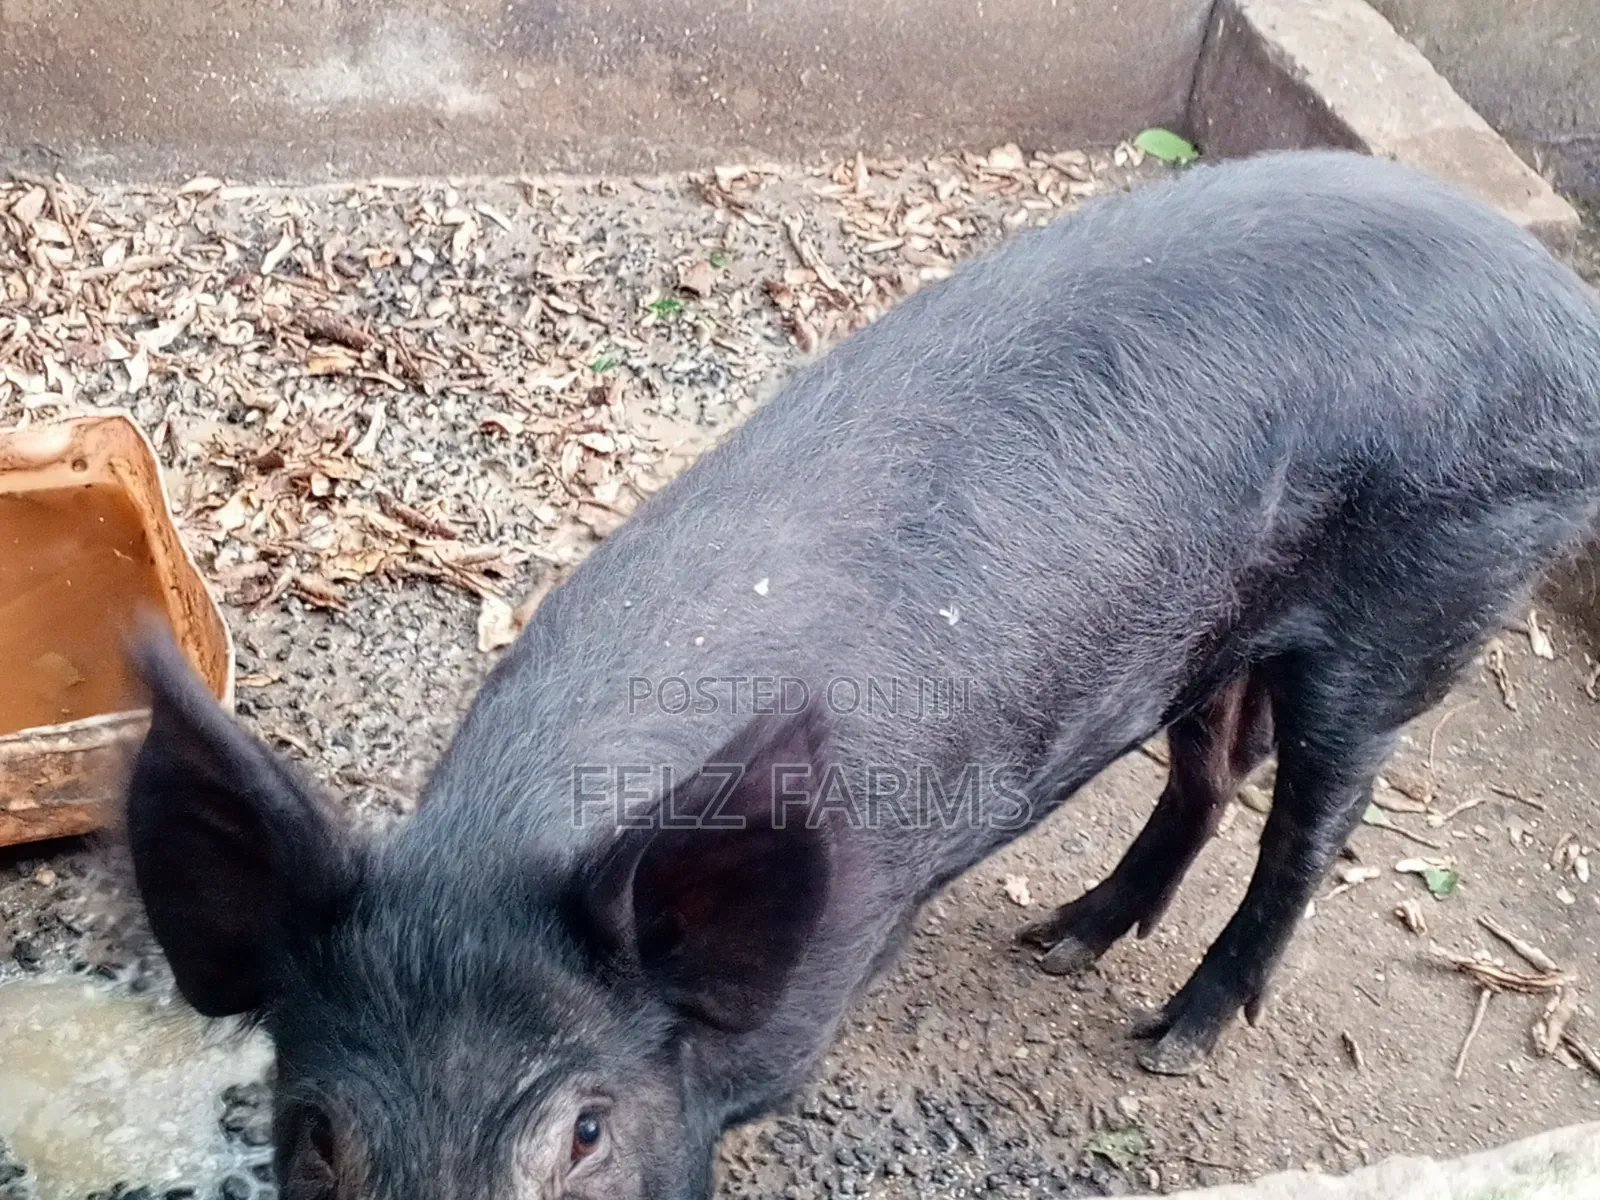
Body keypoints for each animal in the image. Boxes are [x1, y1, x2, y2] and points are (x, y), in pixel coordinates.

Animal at [125, 148, 1600, 1200]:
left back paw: (1171, 1036)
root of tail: (1565, 311)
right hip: (1208, 626)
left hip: (1432, 585)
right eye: (315, 1135)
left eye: (585, 1133)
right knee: (1211, 770)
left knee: (1314, 819)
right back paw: (1060, 941)